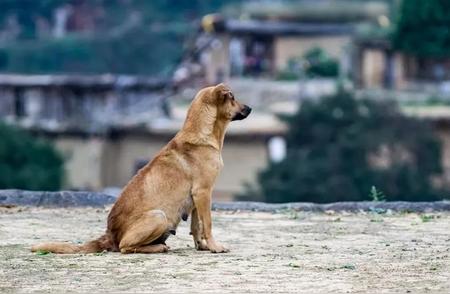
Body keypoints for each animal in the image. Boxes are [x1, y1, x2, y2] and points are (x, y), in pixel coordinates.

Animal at [30, 84, 250, 254]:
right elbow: (208, 224)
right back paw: (158, 248)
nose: (250, 108)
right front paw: (215, 246)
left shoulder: (197, 198)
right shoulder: (203, 193)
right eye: (232, 97)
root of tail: (109, 236)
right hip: (159, 217)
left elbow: (197, 226)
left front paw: (202, 246)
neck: (202, 133)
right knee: (125, 247)